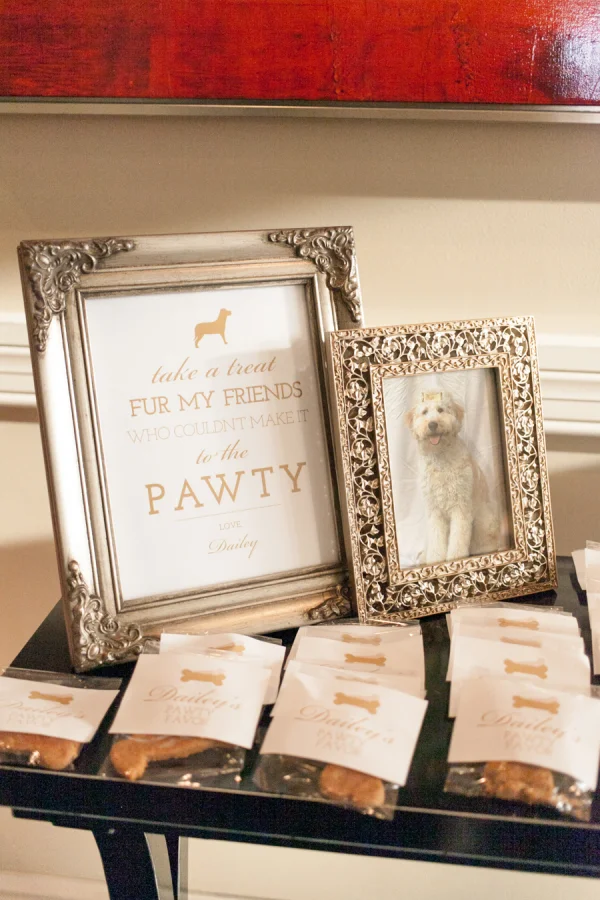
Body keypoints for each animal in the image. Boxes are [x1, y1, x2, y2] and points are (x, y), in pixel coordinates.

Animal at [405, 392, 499, 564]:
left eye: (441, 410)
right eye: (424, 412)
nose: (432, 424)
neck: (440, 457)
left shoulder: (461, 508)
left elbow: (458, 540)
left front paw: (456, 559)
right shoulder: (435, 511)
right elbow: (436, 540)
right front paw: (435, 560)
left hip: (484, 521)